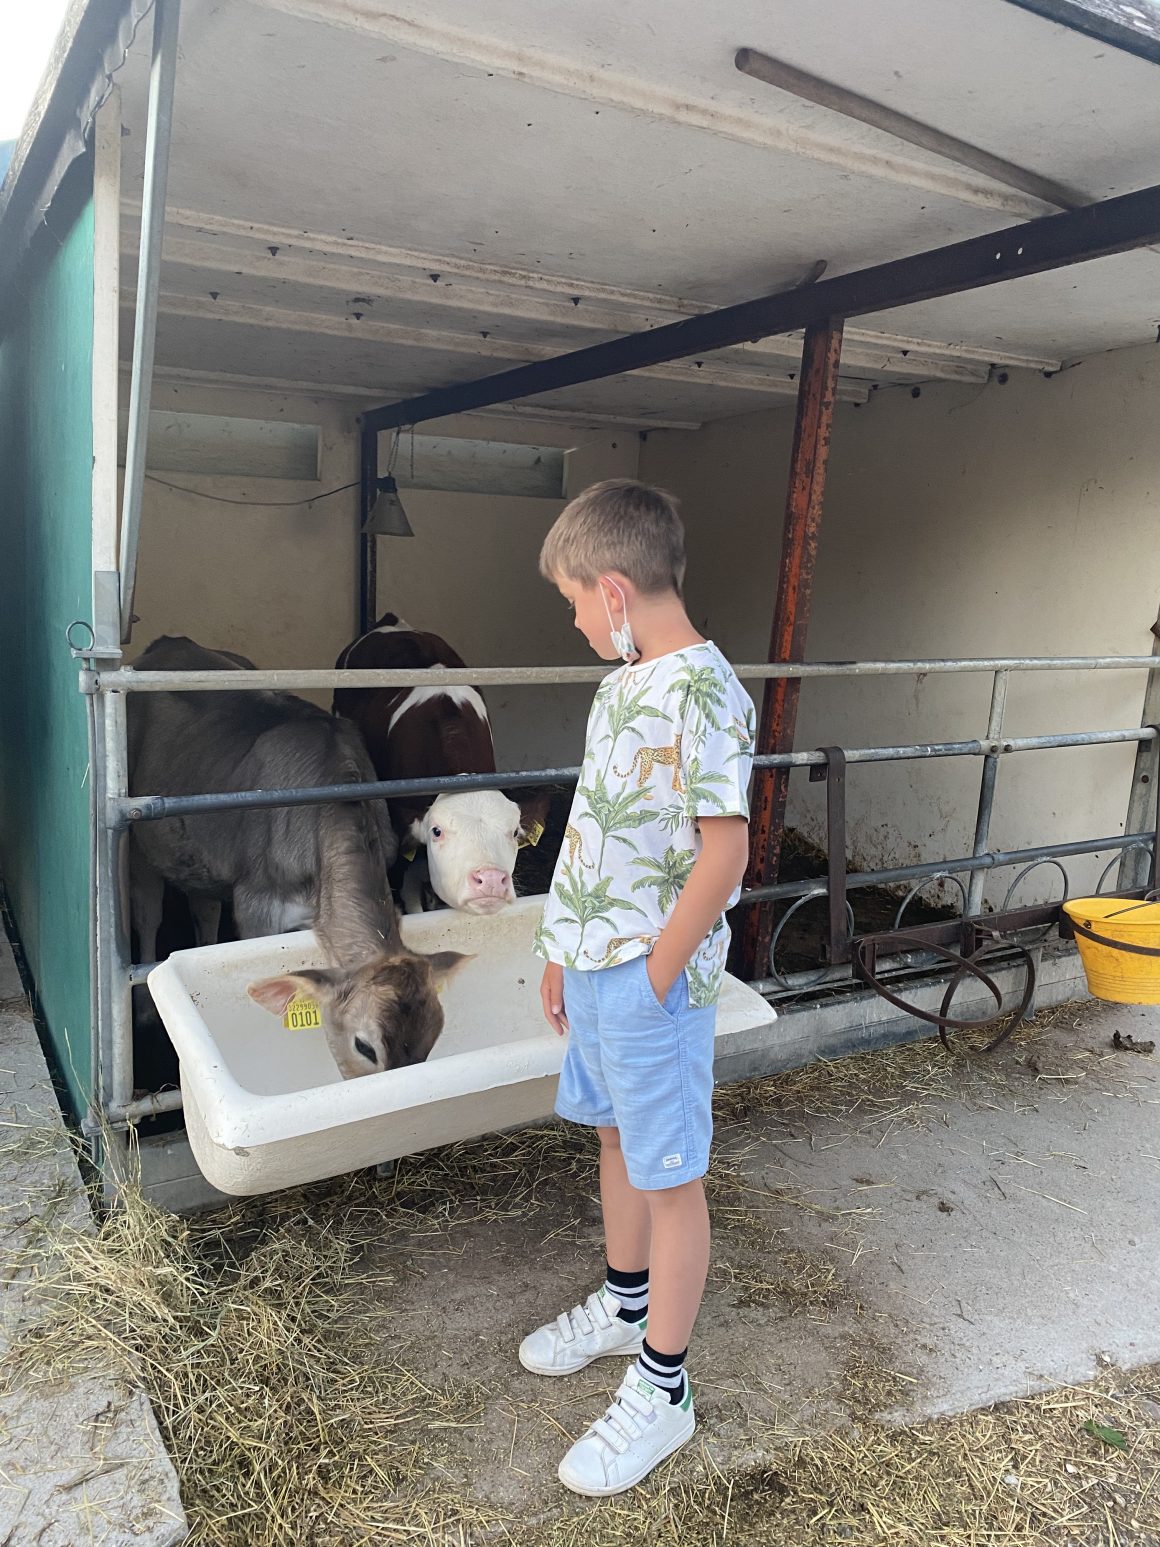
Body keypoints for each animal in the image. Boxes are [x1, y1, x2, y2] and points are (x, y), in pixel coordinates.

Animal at [127, 636, 469, 1079]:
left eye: (433, 1038)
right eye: (364, 1046)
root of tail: (171, 642)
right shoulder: (257, 908)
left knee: (203, 908)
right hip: (136, 840)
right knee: (147, 915)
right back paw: (144, 1012)